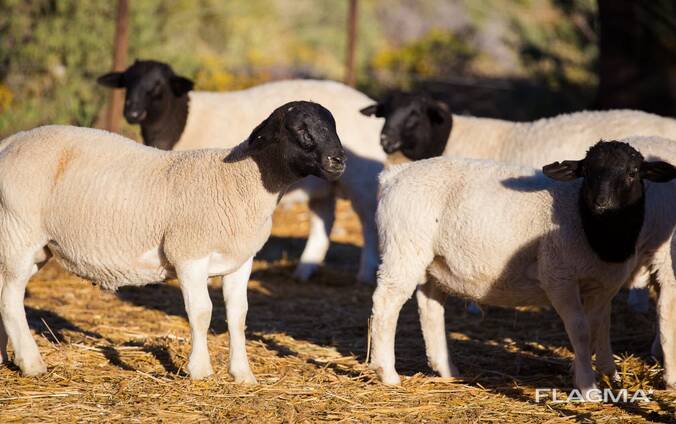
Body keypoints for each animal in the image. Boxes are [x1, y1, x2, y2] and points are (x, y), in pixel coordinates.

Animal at [0, 101, 346, 382]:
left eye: (333, 126)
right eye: (299, 128)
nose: (338, 160)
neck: (241, 183)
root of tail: (9, 142)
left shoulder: (241, 261)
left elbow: (238, 315)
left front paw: (242, 374)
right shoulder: (188, 254)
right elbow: (202, 312)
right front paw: (200, 370)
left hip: (32, 246)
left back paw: (7, 358)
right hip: (18, 233)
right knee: (10, 300)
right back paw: (32, 363)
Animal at [97, 60, 385, 284]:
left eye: (158, 85)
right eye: (127, 82)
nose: (132, 113)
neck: (180, 123)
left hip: (362, 180)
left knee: (369, 223)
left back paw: (365, 273)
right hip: (324, 184)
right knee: (323, 219)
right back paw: (305, 269)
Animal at [370, 140, 676, 399]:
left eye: (633, 172)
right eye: (587, 171)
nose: (601, 203)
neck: (593, 227)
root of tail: (395, 175)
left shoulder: (603, 283)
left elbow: (599, 326)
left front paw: (604, 373)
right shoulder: (558, 276)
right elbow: (580, 329)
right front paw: (588, 387)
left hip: (434, 260)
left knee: (430, 307)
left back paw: (447, 370)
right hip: (403, 250)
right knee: (386, 305)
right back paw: (388, 373)